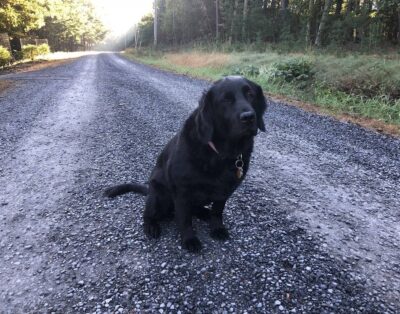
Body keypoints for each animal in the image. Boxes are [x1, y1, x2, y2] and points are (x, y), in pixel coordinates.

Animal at [106, 76, 268, 253]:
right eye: (226, 99)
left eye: (250, 94)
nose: (248, 117)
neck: (221, 153)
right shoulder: (182, 191)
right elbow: (184, 219)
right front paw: (190, 239)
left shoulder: (224, 191)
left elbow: (217, 211)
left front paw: (217, 228)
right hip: (159, 196)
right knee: (148, 214)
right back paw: (151, 226)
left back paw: (204, 213)